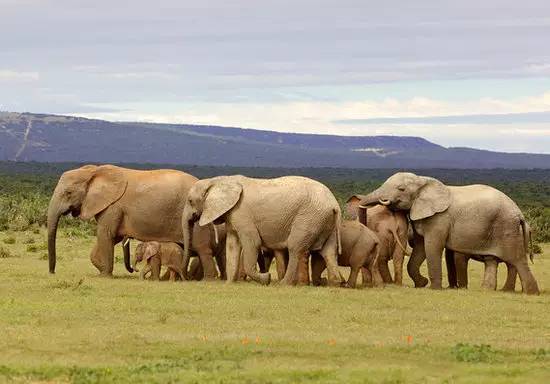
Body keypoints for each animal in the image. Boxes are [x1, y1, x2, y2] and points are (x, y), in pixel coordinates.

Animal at [45, 165, 220, 280]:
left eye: (68, 193)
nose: (52, 272)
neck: (93, 171)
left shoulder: (113, 207)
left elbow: (105, 234)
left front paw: (105, 276)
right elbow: (111, 238)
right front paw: (101, 271)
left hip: (195, 216)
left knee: (203, 250)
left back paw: (208, 280)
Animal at [183, 176, 342, 286]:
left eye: (190, 201)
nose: (186, 278)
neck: (218, 180)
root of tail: (335, 204)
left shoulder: (243, 214)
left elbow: (252, 243)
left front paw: (266, 279)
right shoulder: (232, 215)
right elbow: (232, 246)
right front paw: (229, 284)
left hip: (309, 218)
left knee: (295, 248)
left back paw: (283, 284)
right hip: (324, 221)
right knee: (328, 251)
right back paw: (335, 283)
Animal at [356, 172, 540, 296]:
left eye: (401, 189)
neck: (423, 180)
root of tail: (520, 213)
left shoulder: (439, 219)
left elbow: (432, 247)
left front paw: (434, 289)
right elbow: (420, 249)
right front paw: (422, 283)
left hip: (507, 228)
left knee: (517, 261)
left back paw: (529, 293)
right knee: (494, 260)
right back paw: (492, 291)